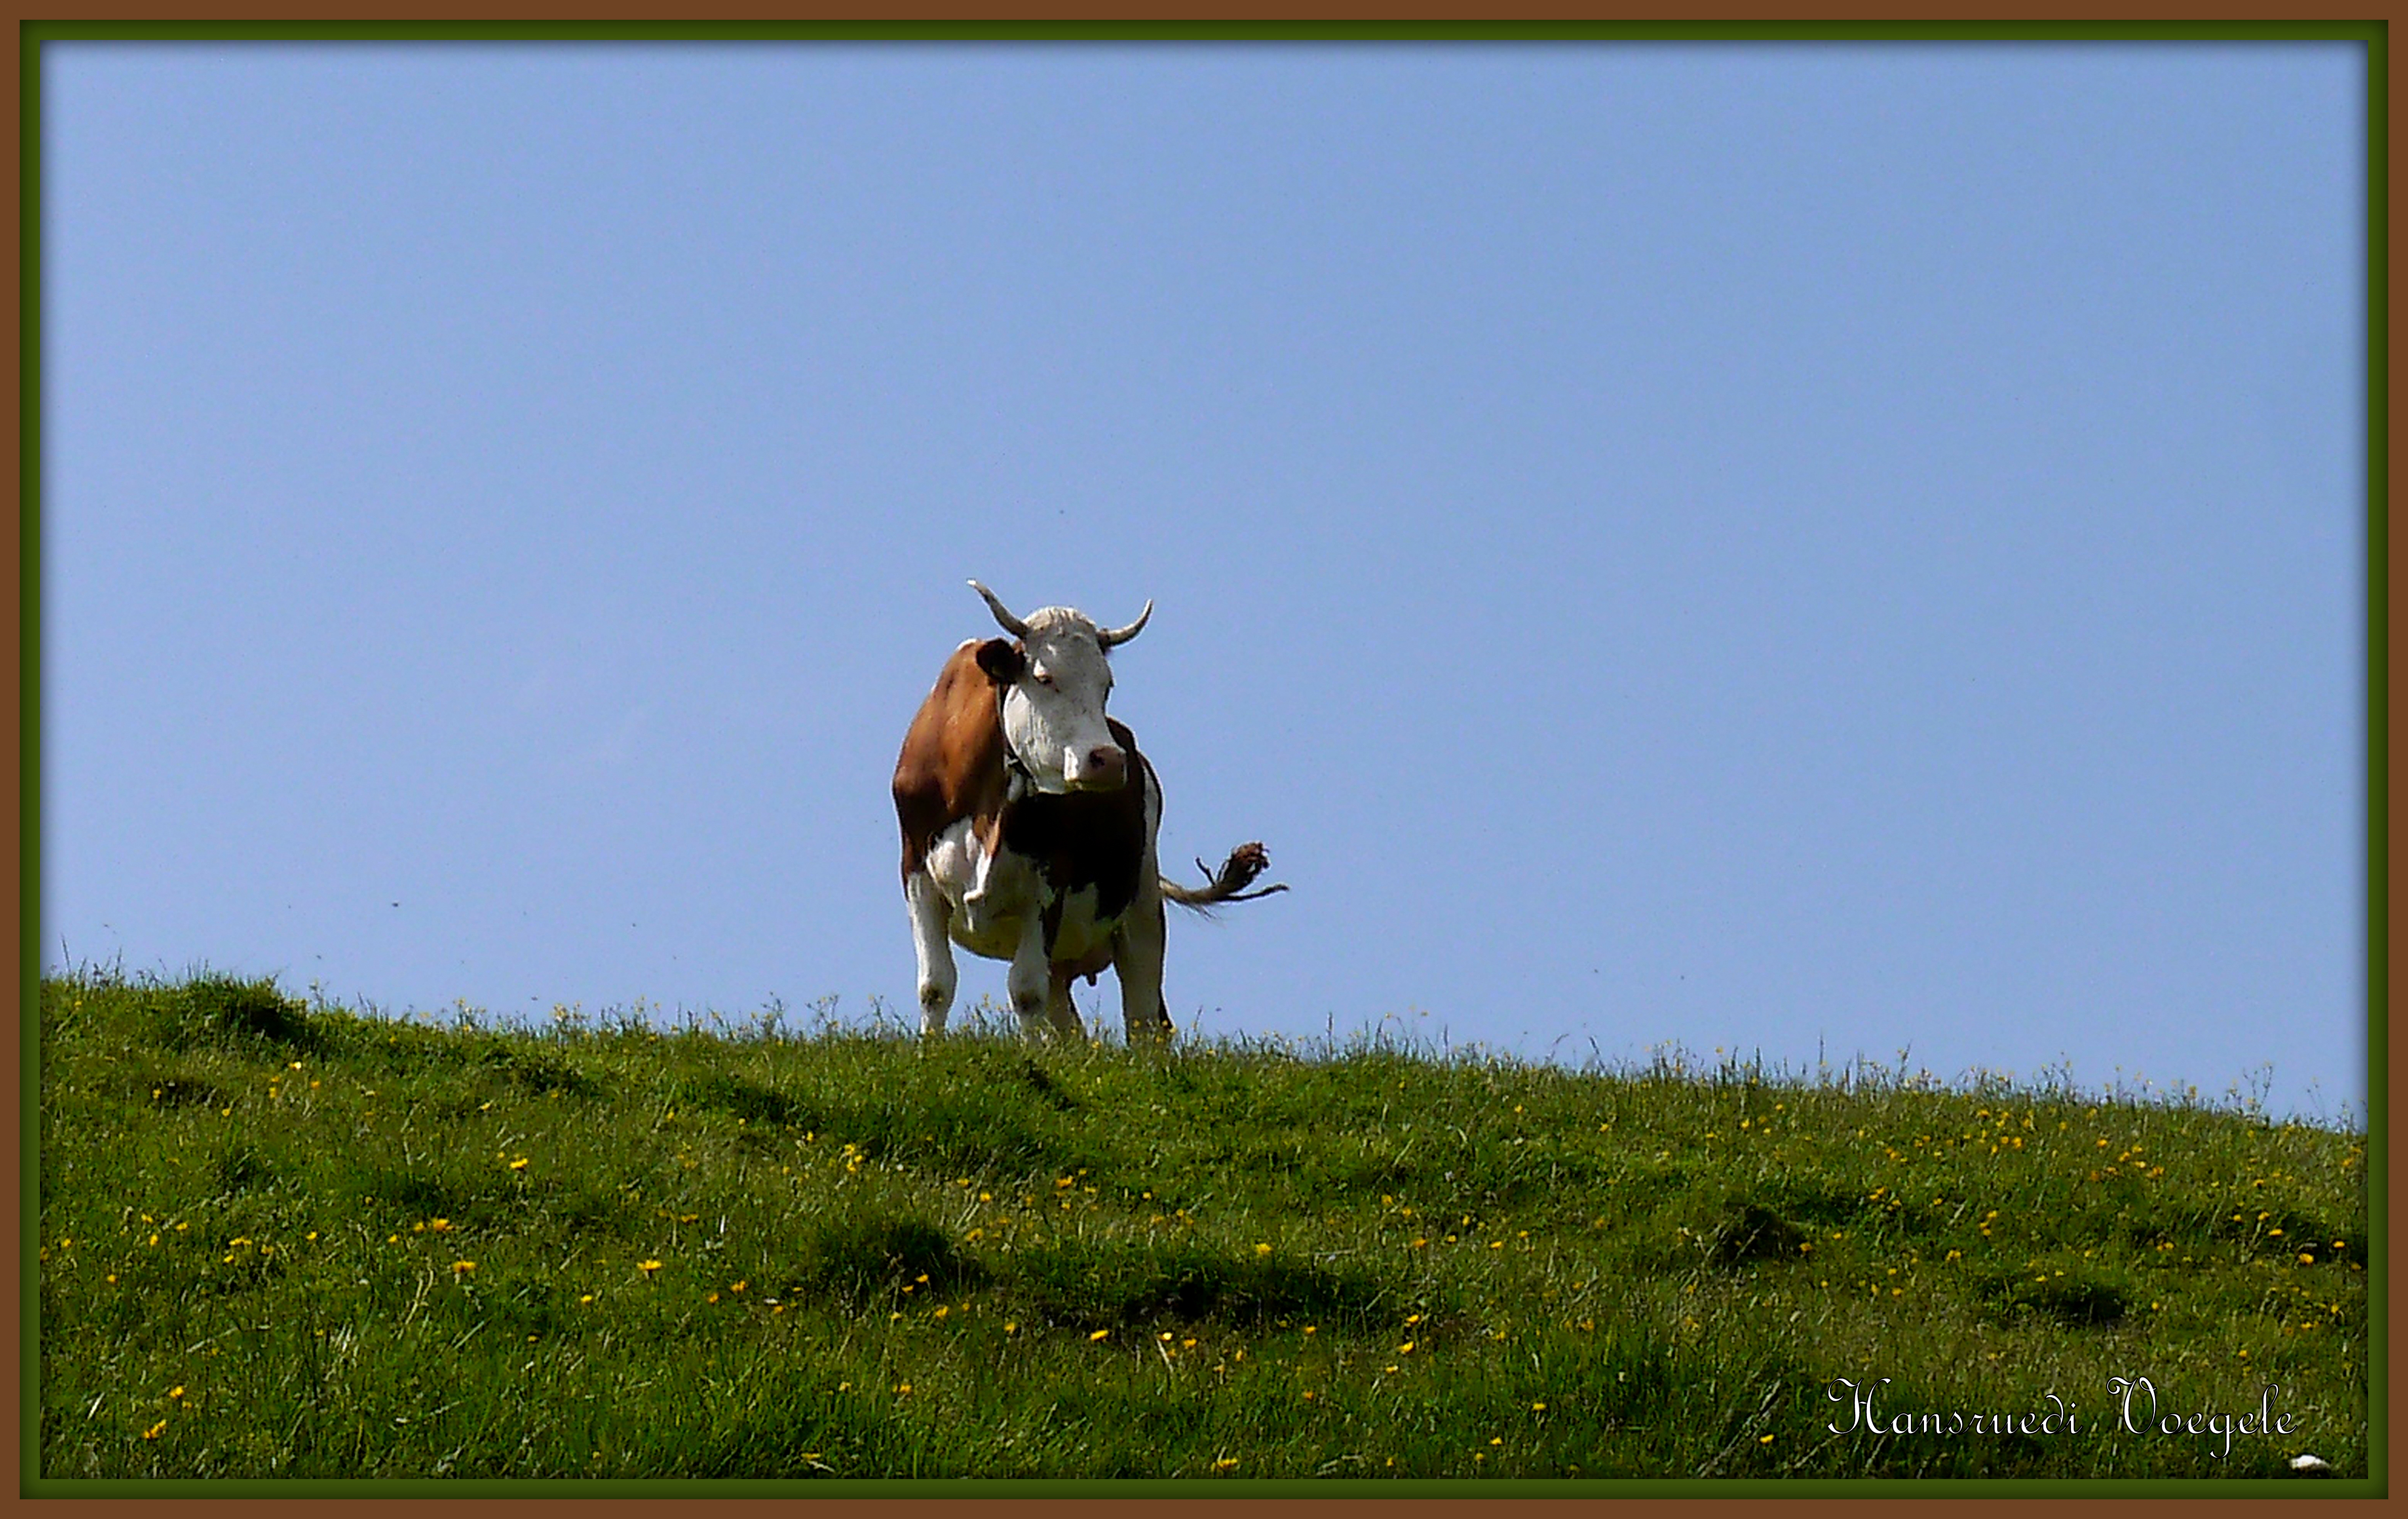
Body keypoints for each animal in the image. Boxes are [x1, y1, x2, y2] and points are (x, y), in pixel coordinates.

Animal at [895, 582, 1290, 1045]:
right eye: (1044, 678)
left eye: (1107, 685)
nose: (1107, 760)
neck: (987, 812)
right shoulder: (916, 871)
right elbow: (936, 986)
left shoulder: (1048, 884)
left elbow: (1025, 991)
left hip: (1142, 907)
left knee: (1144, 1016)